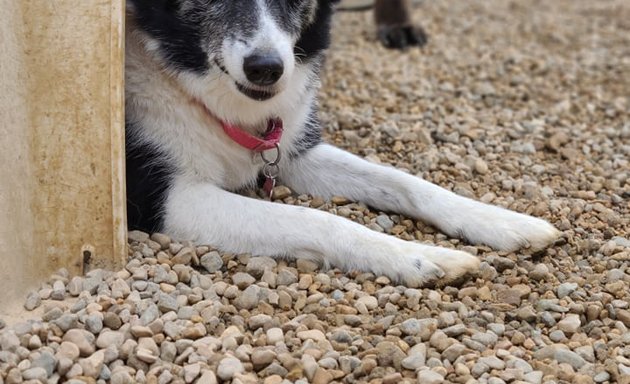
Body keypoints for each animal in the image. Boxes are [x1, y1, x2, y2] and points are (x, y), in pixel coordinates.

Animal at [126, 0, 560, 286]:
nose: (266, 69)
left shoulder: (291, 152)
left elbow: (406, 182)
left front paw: (502, 221)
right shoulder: (170, 199)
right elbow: (315, 219)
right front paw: (417, 256)